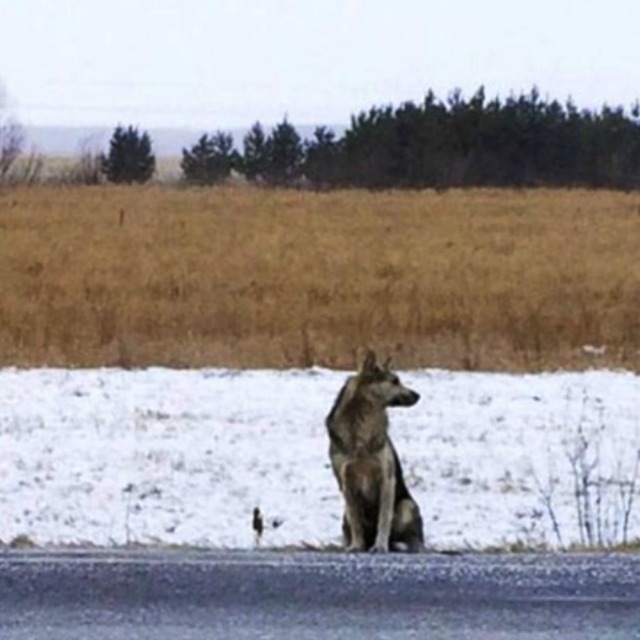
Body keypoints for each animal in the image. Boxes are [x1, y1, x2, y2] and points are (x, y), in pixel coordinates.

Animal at [324, 348, 424, 552]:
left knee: (409, 536)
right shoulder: (346, 482)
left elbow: (384, 518)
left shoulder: (386, 479)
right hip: (344, 514)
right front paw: (356, 545)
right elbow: (356, 520)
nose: (418, 395)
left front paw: (380, 546)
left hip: (406, 505)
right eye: (394, 381)